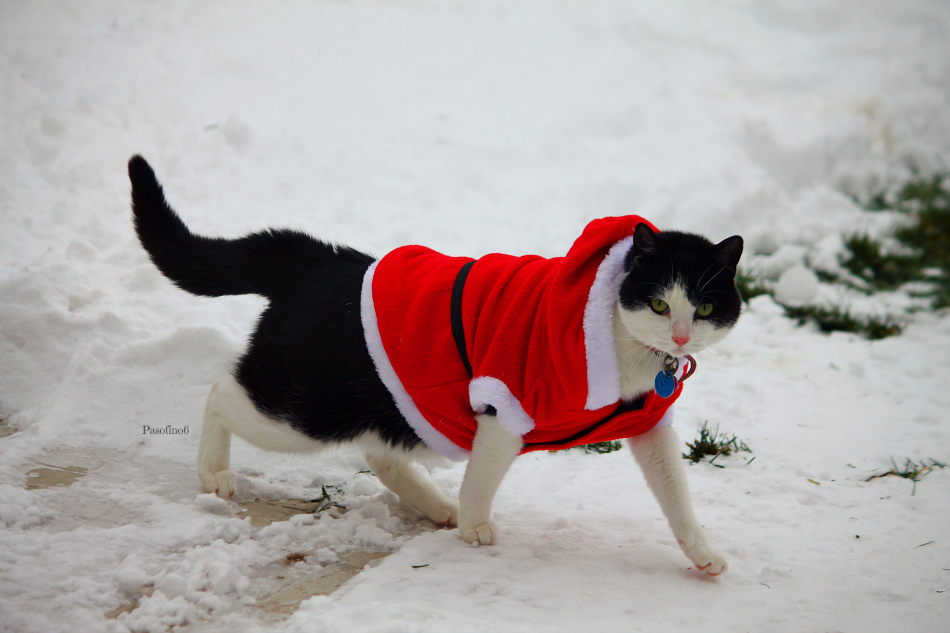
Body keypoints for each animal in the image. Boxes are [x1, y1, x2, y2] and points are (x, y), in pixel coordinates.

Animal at [130, 156, 748, 576]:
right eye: (660, 303)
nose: (681, 334)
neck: (629, 355)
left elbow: (676, 495)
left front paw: (702, 554)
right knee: (219, 392)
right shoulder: (503, 403)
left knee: (380, 454)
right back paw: (214, 473)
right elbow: (485, 476)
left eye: (705, 307)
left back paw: (436, 506)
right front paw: (476, 528)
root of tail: (318, 261)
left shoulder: (649, 424)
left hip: (384, 405)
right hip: (307, 407)